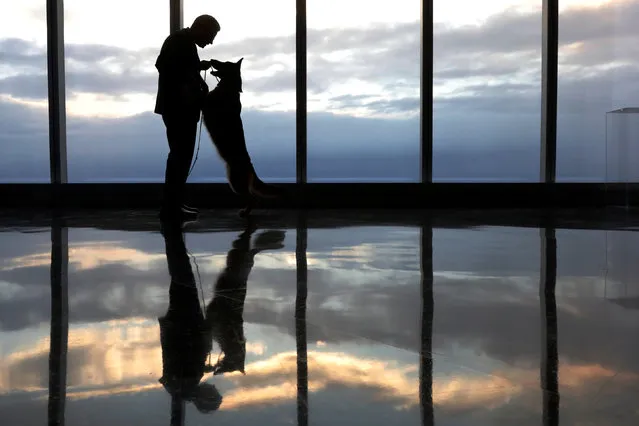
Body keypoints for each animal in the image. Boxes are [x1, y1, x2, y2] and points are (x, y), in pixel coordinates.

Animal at [201, 58, 284, 218]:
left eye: (224, 63)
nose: (212, 60)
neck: (229, 88)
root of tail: (250, 167)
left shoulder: (207, 103)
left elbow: (204, 90)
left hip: (235, 183)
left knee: (253, 198)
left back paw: (245, 212)